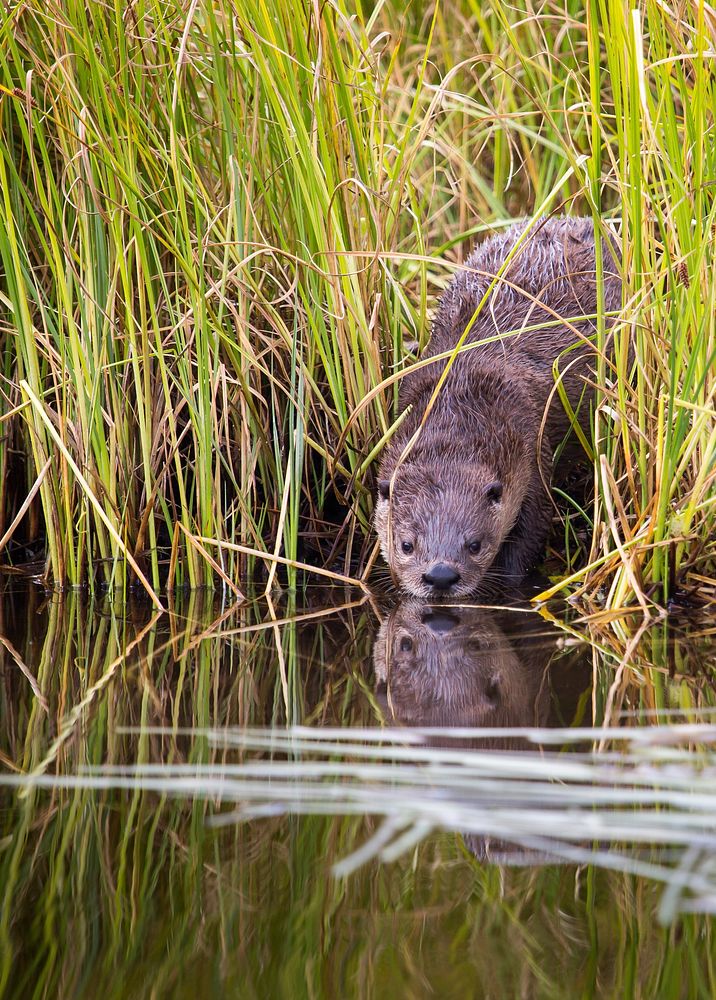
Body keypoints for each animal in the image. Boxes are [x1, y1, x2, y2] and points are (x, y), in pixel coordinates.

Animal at [374, 215, 620, 596]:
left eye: (474, 544)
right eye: (406, 544)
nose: (440, 575)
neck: (461, 396)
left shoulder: (532, 455)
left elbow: (531, 533)